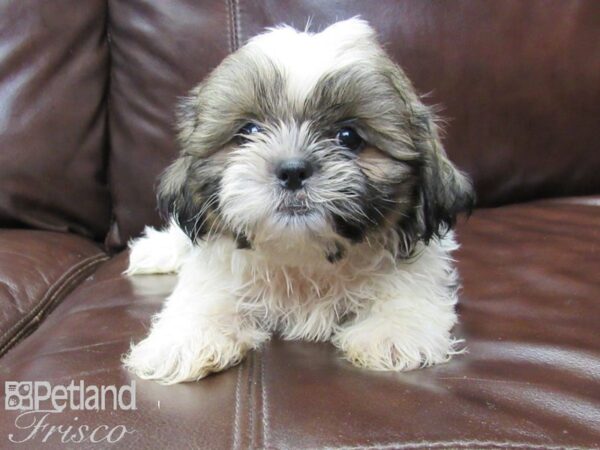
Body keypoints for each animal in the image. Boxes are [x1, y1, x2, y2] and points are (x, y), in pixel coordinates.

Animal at [124, 17, 476, 384]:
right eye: (249, 132)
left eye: (348, 137)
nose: (292, 170)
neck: (304, 255)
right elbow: (203, 296)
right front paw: (183, 340)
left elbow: (409, 288)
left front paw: (393, 333)